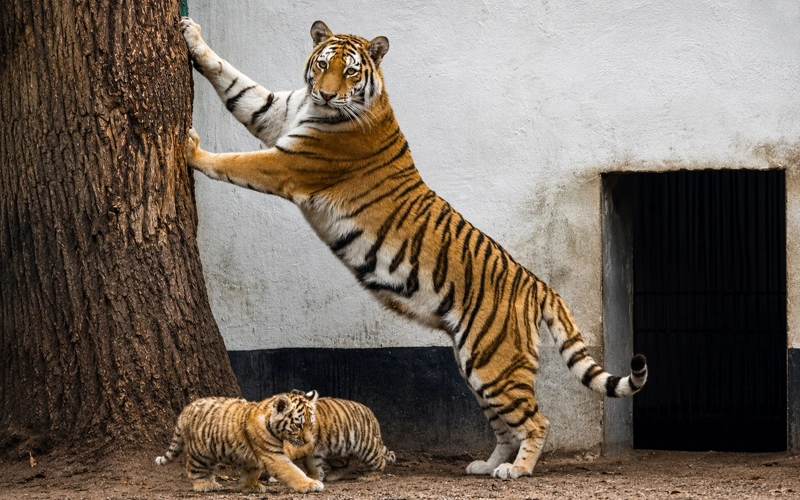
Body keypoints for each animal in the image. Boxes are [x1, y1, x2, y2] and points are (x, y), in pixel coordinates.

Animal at [155, 390, 324, 493]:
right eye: (298, 425)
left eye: (311, 424)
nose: (308, 441)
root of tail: (186, 409)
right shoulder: (273, 455)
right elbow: (292, 471)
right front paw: (311, 484)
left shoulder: (254, 458)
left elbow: (252, 471)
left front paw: (250, 486)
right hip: (200, 452)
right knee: (194, 469)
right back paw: (204, 485)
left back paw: (213, 483)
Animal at [179, 18, 648, 479]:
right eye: (323, 64)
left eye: (351, 72)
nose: (326, 93)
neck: (320, 108)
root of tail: (537, 283)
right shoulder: (278, 111)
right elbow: (238, 84)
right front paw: (192, 35)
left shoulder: (288, 164)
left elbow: (237, 163)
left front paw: (190, 149)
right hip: (477, 365)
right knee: (505, 424)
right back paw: (486, 465)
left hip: (496, 364)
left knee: (537, 420)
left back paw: (516, 471)